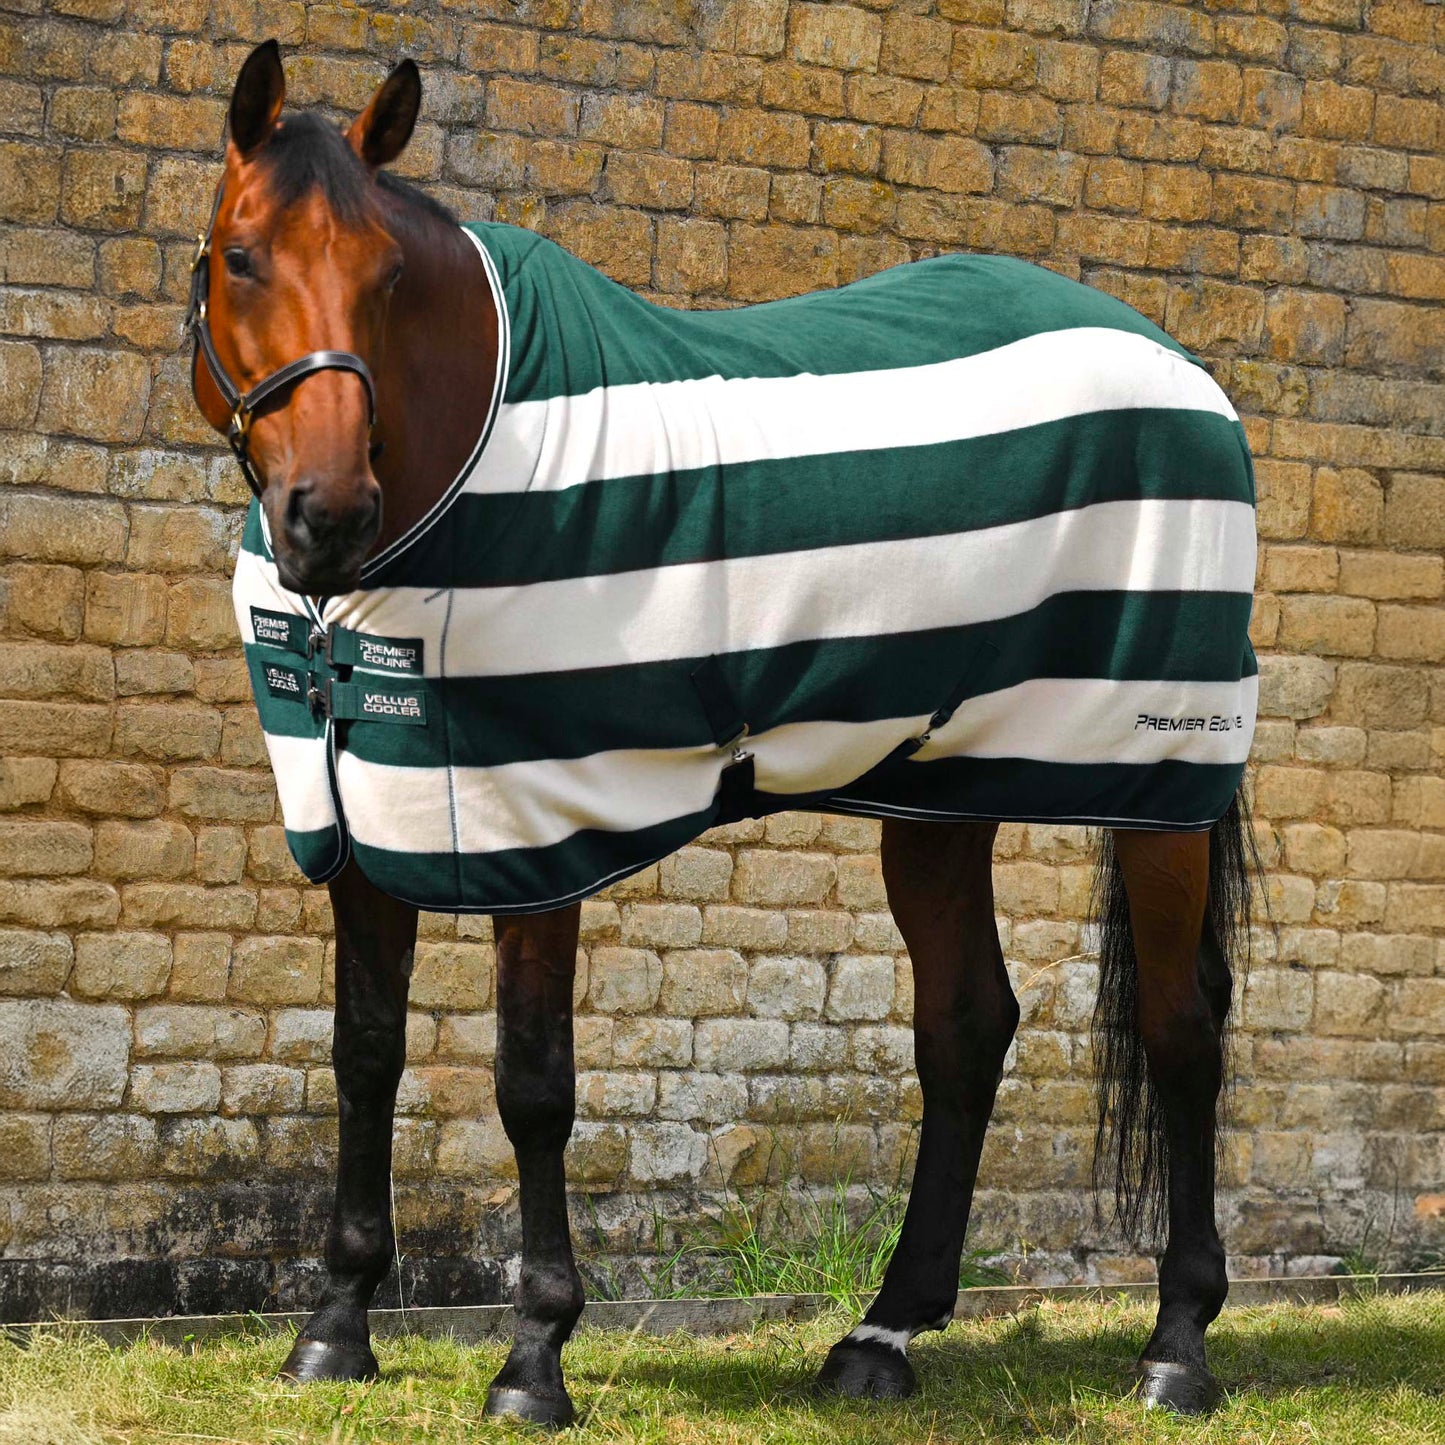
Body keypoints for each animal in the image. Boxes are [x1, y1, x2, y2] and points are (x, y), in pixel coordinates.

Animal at [188, 42, 1260, 1426]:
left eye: (386, 276)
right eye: (240, 257)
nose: (326, 514)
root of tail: (1179, 367)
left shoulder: (539, 824)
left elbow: (532, 1083)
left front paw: (533, 1356)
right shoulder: (362, 816)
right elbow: (363, 1052)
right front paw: (334, 1325)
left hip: (1154, 779)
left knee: (1181, 1029)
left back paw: (1175, 1345)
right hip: (940, 784)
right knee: (965, 1024)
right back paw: (881, 1332)